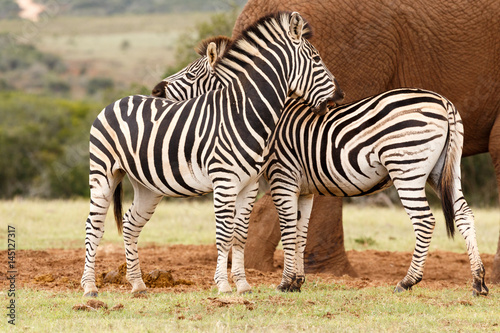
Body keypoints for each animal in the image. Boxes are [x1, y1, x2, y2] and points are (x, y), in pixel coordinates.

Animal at [81, 11, 344, 296]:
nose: (340, 94)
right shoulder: (224, 181)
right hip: (103, 172)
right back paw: (89, 287)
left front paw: (242, 284)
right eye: (316, 59)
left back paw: (138, 284)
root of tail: (118, 101)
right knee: (94, 226)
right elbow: (224, 233)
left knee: (130, 224)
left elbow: (240, 234)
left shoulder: (249, 185)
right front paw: (223, 285)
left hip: (147, 186)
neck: (244, 112)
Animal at [152, 39, 488, 296]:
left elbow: (288, 230)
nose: (156, 91)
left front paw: (285, 283)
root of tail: (443, 101)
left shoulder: (283, 177)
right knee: (464, 215)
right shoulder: (305, 189)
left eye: (191, 75)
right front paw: (297, 282)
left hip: (407, 167)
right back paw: (478, 282)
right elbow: (301, 232)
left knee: (425, 221)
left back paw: (407, 282)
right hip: (443, 170)